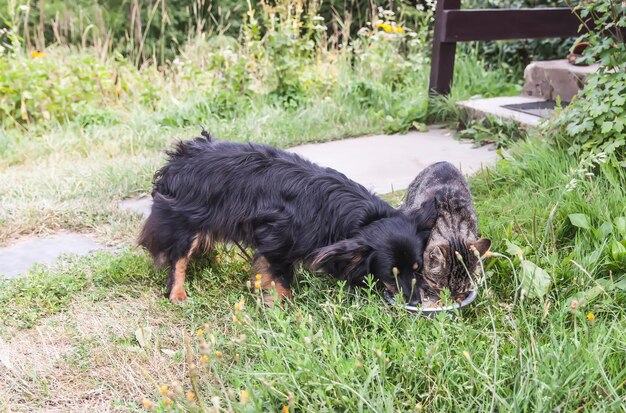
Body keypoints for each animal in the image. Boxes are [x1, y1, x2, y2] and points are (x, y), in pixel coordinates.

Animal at [140, 132, 434, 302]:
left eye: (418, 269)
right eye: (391, 273)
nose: (416, 302)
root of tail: (184, 153)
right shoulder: (275, 241)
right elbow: (280, 280)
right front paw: (286, 309)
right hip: (183, 220)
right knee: (178, 258)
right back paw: (177, 293)